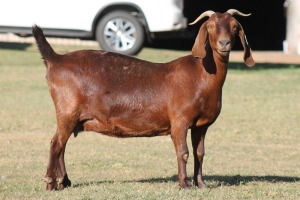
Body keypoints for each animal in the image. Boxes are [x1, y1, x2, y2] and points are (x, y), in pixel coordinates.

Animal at [32, 9, 253, 191]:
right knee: (56, 143)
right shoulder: (179, 122)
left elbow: (200, 153)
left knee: (62, 145)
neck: (201, 75)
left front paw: (201, 184)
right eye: (210, 26)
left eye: (235, 26)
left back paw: (64, 182)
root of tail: (56, 59)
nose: (224, 44)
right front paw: (184, 184)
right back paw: (51, 182)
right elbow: (183, 152)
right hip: (67, 110)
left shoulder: (201, 125)